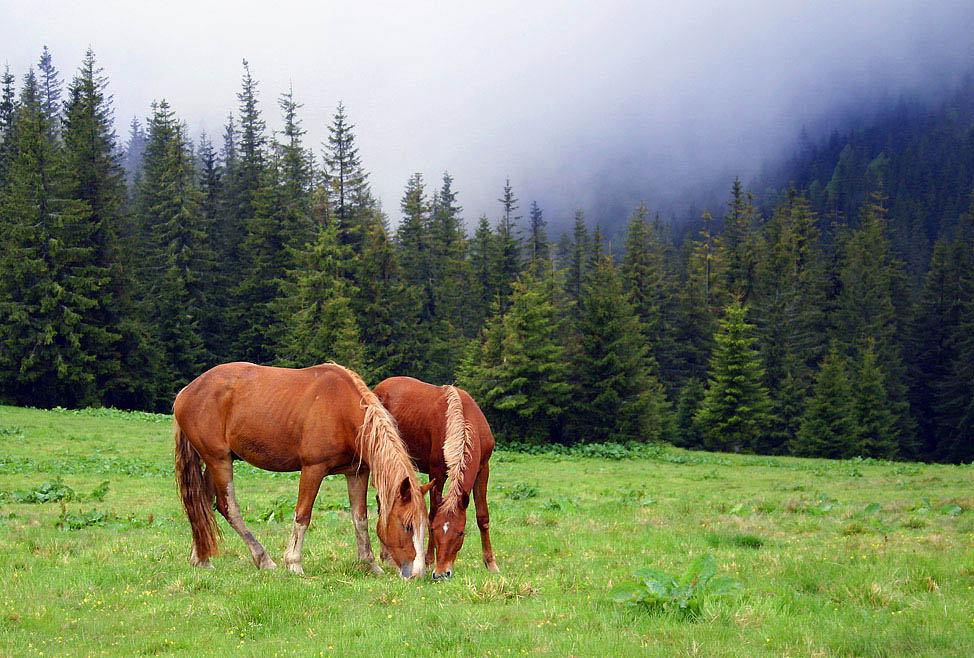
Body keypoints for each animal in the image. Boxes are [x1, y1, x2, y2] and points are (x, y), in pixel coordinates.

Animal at [174, 362, 430, 576]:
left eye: (424, 527)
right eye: (407, 526)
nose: (417, 574)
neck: (341, 410)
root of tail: (186, 392)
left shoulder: (356, 473)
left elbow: (360, 519)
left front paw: (370, 564)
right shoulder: (313, 469)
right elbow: (302, 516)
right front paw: (294, 563)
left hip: (219, 460)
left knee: (204, 504)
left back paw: (201, 558)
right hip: (219, 460)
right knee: (228, 508)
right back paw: (263, 559)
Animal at [372, 374, 500, 580]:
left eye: (460, 533)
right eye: (433, 530)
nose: (441, 573)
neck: (462, 419)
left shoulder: (483, 469)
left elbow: (483, 517)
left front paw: (491, 563)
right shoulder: (437, 473)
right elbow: (432, 513)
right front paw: (429, 560)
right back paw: (387, 557)